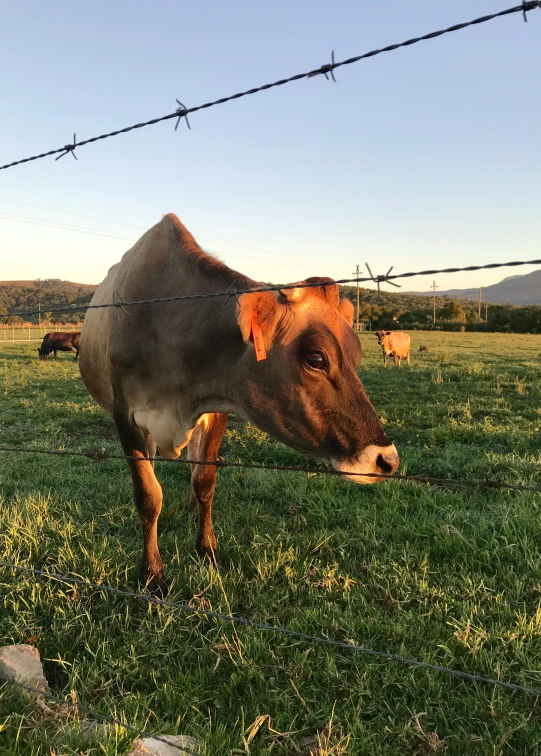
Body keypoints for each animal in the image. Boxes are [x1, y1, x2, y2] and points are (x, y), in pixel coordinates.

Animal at [81, 214, 400, 596]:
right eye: (316, 358)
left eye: (358, 354)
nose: (387, 460)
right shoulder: (125, 415)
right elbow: (148, 495)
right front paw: (152, 573)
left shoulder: (216, 407)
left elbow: (205, 480)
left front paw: (207, 549)